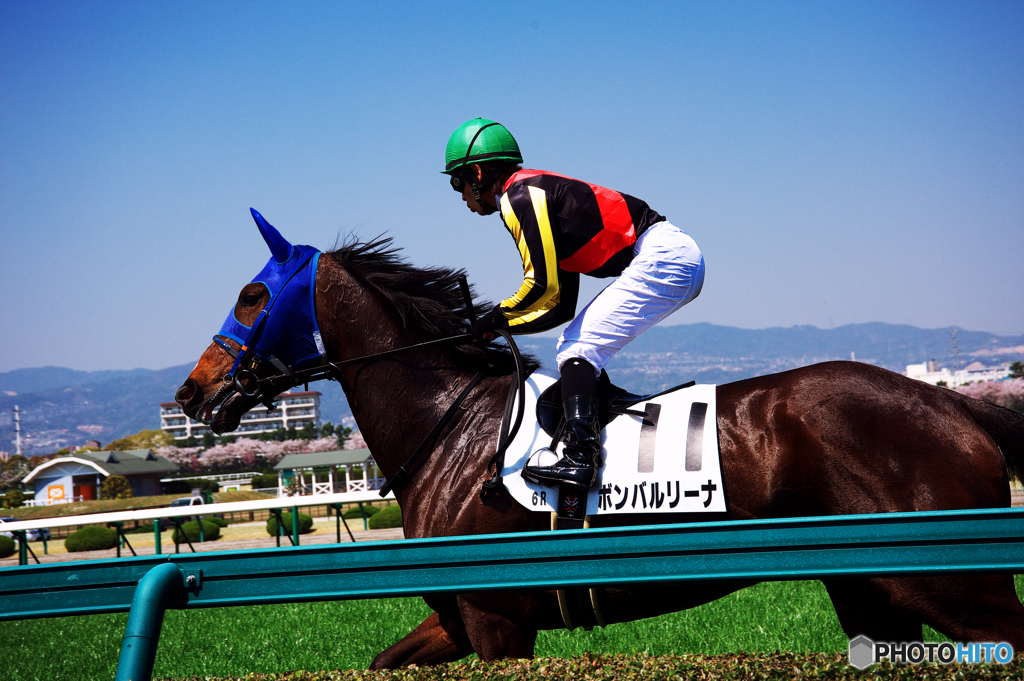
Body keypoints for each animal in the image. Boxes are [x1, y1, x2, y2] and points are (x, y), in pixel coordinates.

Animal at [174, 225, 1024, 669]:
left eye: (252, 295)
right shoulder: (457, 615)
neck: (448, 425)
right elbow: (386, 660)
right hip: (872, 588)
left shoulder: (499, 622)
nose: (191, 391)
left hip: (956, 586)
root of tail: (952, 400)